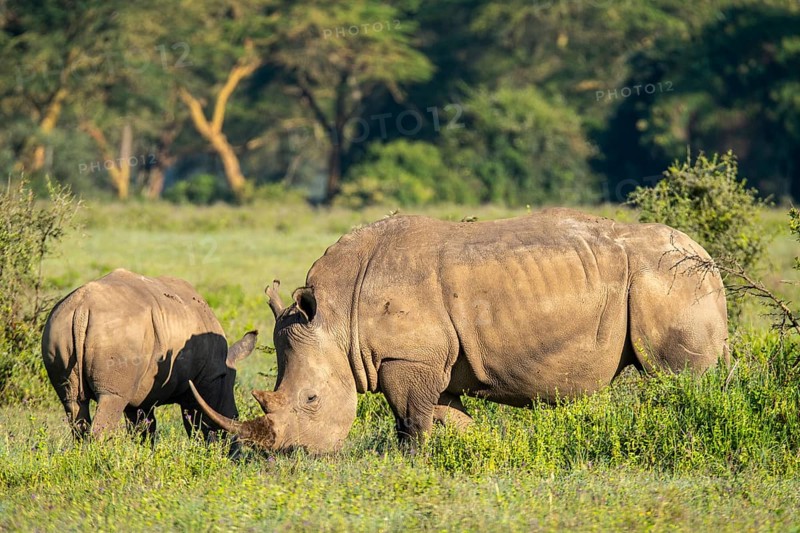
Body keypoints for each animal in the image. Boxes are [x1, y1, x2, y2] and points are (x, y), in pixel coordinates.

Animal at [42, 268, 257, 443]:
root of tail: (81, 309)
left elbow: (144, 428)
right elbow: (197, 426)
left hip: (58, 326)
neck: (223, 371)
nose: (235, 453)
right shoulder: (202, 382)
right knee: (111, 398)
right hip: (119, 335)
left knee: (72, 402)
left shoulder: (143, 393)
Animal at [192, 209, 729, 453]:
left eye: (311, 401)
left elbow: (411, 421)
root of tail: (708, 257)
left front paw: (411, 465)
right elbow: (447, 418)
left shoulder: (406, 358)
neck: (337, 316)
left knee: (677, 380)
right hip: (679, 279)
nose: (285, 459)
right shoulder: (431, 363)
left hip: (669, 279)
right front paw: (475, 452)